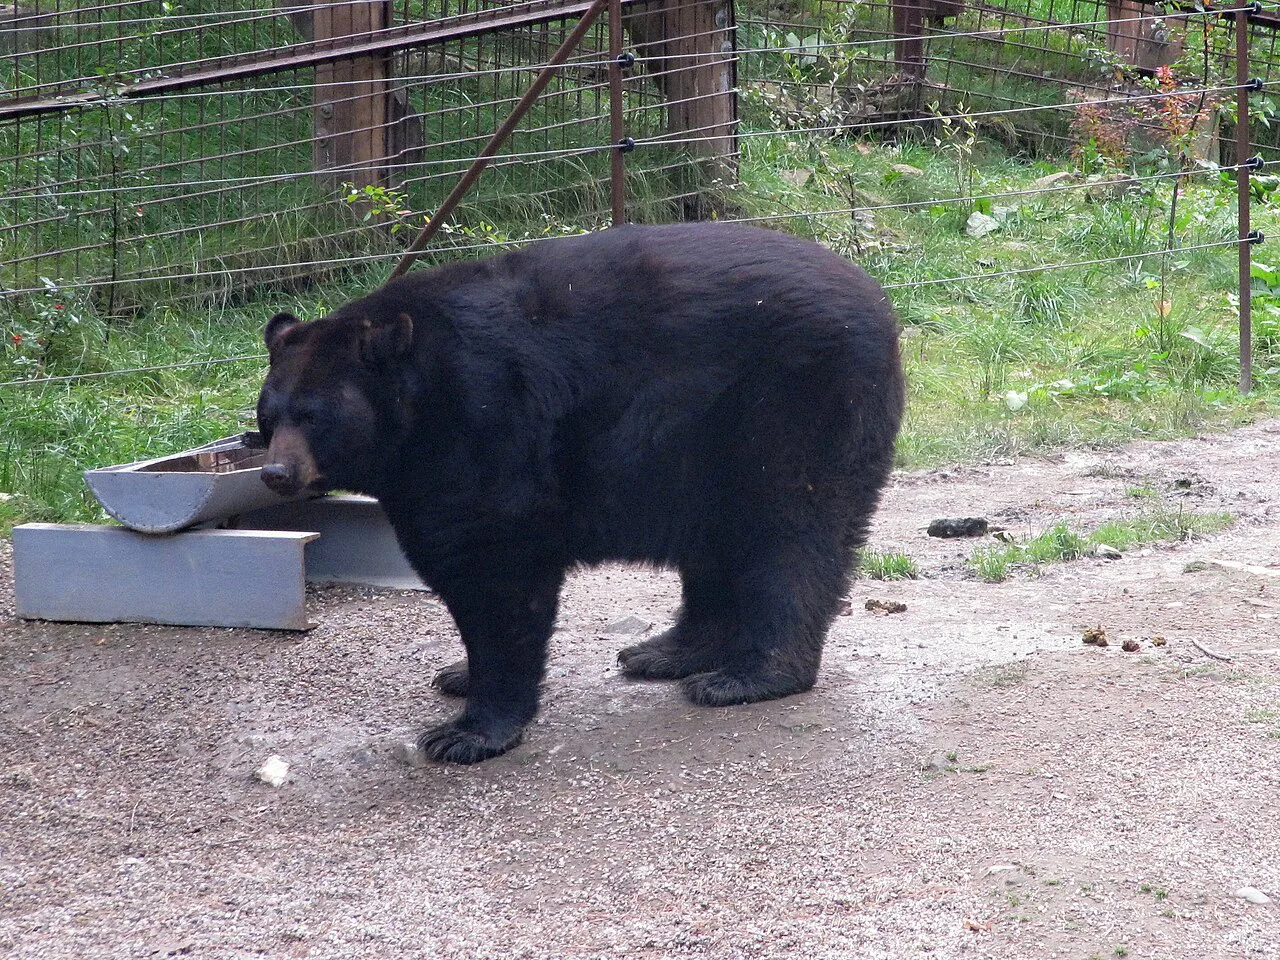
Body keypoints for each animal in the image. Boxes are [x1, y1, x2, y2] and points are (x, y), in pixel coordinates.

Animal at [255, 223, 905, 765]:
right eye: (270, 413)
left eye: (314, 416)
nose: (277, 473)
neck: (421, 406)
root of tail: (878, 300)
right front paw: (457, 674)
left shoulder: (491, 427)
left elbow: (497, 575)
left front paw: (467, 732)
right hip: (705, 455)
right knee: (718, 548)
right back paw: (665, 652)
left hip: (796, 409)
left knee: (793, 536)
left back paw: (749, 676)